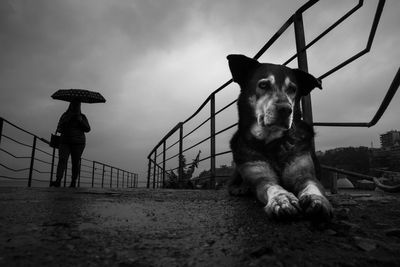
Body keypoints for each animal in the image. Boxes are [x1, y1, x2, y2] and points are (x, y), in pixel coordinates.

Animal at [227, 54, 332, 222]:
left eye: (293, 89)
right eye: (263, 85)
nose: (285, 109)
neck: (272, 142)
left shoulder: (304, 173)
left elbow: (312, 185)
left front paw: (318, 199)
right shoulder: (261, 177)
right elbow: (272, 186)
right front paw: (282, 199)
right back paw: (240, 188)